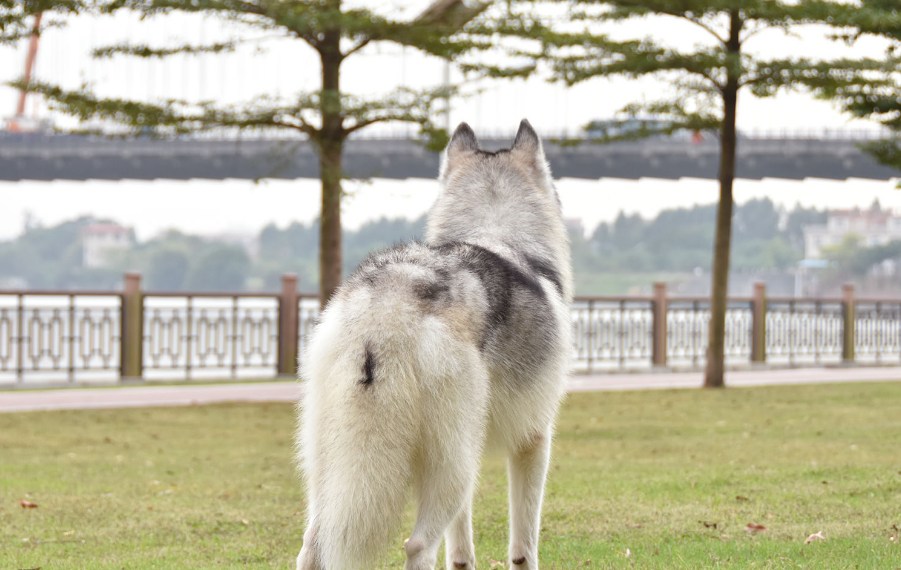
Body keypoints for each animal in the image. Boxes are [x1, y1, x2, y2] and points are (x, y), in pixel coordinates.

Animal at [298, 120, 572, 568]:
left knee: (313, 543)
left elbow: (460, 550)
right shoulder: (534, 440)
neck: (495, 230)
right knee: (418, 545)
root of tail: (388, 307)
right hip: (453, 466)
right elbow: (523, 548)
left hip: (333, 470)